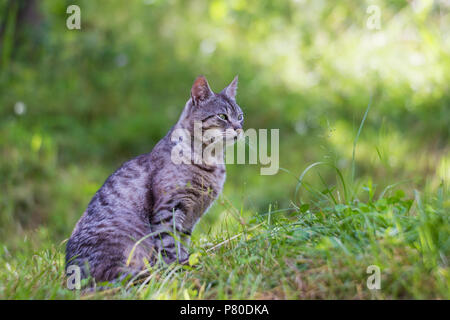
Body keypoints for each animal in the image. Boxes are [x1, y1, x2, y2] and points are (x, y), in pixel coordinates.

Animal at [65, 75, 244, 284]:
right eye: (222, 116)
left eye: (240, 116)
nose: (239, 128)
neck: (211, 160)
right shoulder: (168, 208)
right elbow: (168, 244)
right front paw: (177, 268)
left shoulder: (190, 218)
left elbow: (182, 242)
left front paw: (185, 262)